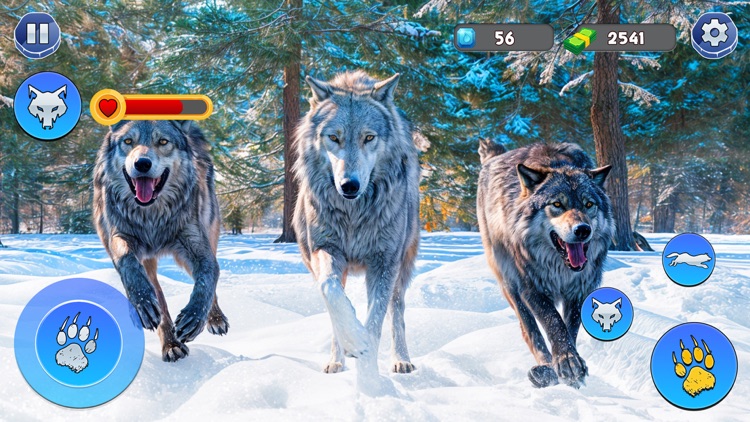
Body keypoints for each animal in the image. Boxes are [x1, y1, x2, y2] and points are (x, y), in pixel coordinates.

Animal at [93, 120, 228, 362]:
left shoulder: (196, 246)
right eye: (128, 141)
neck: (152, 218)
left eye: (163, 141)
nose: (142, 163)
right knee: (159, 300)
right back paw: (170, 344)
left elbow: (207, 278)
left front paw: (194, 317)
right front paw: (143, 303)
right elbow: (129, 265)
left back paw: (214, 319)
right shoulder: (121, 238)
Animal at [293, 71, 421, 378]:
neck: (354, 215)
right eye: (334, 138)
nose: (349, 185)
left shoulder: (385, 262)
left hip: (402, 267)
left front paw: (368, 371)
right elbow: (331, 293)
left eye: (369, 138)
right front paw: (353, 341)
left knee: (396, 311)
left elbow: (375, 321)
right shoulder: (325, 250)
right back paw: (336, 361)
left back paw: (401, 360)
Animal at [477, 140, 613, 388]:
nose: (583, 230)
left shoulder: (580, 290)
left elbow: (570, 328)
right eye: (557, 204)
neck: (560, 270)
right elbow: (554, 322)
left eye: (589, 204)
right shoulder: (532, 288)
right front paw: (566, 362)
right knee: (529, 330)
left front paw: (573, 365)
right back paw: (545, 369)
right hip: (510, 285)